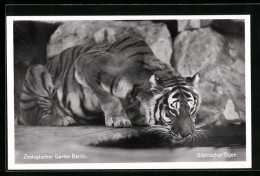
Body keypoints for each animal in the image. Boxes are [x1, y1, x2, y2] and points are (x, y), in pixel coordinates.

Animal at [16, 35, 201, 142]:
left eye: (191, 109)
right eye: (171, 111)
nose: (187, 134)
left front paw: (138, 117)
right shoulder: (85, 63)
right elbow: (109, 98)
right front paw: (119, 119)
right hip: (37, 71)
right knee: (35, 116)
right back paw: (61, 119)